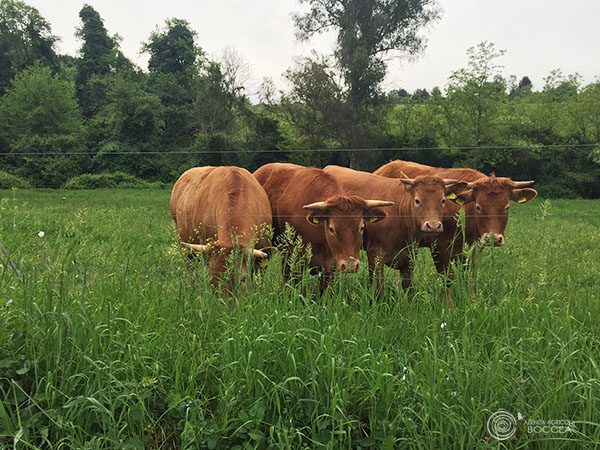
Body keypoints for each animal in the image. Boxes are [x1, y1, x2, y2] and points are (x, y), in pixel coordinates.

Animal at [322, 163, 466, 298]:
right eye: (417, 200)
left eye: (443, 200)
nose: (433, 225)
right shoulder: (375, 254)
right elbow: (378, 287)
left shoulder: (410, 254)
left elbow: (407, 287)